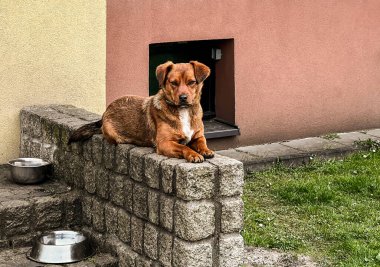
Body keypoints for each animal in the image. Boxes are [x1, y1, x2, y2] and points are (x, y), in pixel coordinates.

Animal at [69, 60, 214, 163]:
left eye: (191, 82)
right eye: (173, 83)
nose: (183, 98)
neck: (183, 111)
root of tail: (106, 110)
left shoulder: (198, 136)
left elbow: (202, 142)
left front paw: (206, 150)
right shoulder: (164, 143)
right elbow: (184, 147)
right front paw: (193, 154)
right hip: (113, 134)